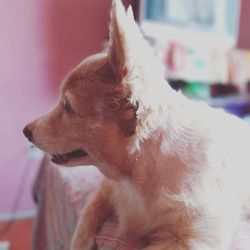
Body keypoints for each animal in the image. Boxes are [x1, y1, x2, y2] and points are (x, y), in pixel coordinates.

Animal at [23, 0, 250, 249]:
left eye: (67, 105)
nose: (25, 131)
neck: (136, 177)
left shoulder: (191, 238)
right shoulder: (107, 188)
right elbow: (87, 214)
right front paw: (80, 241)